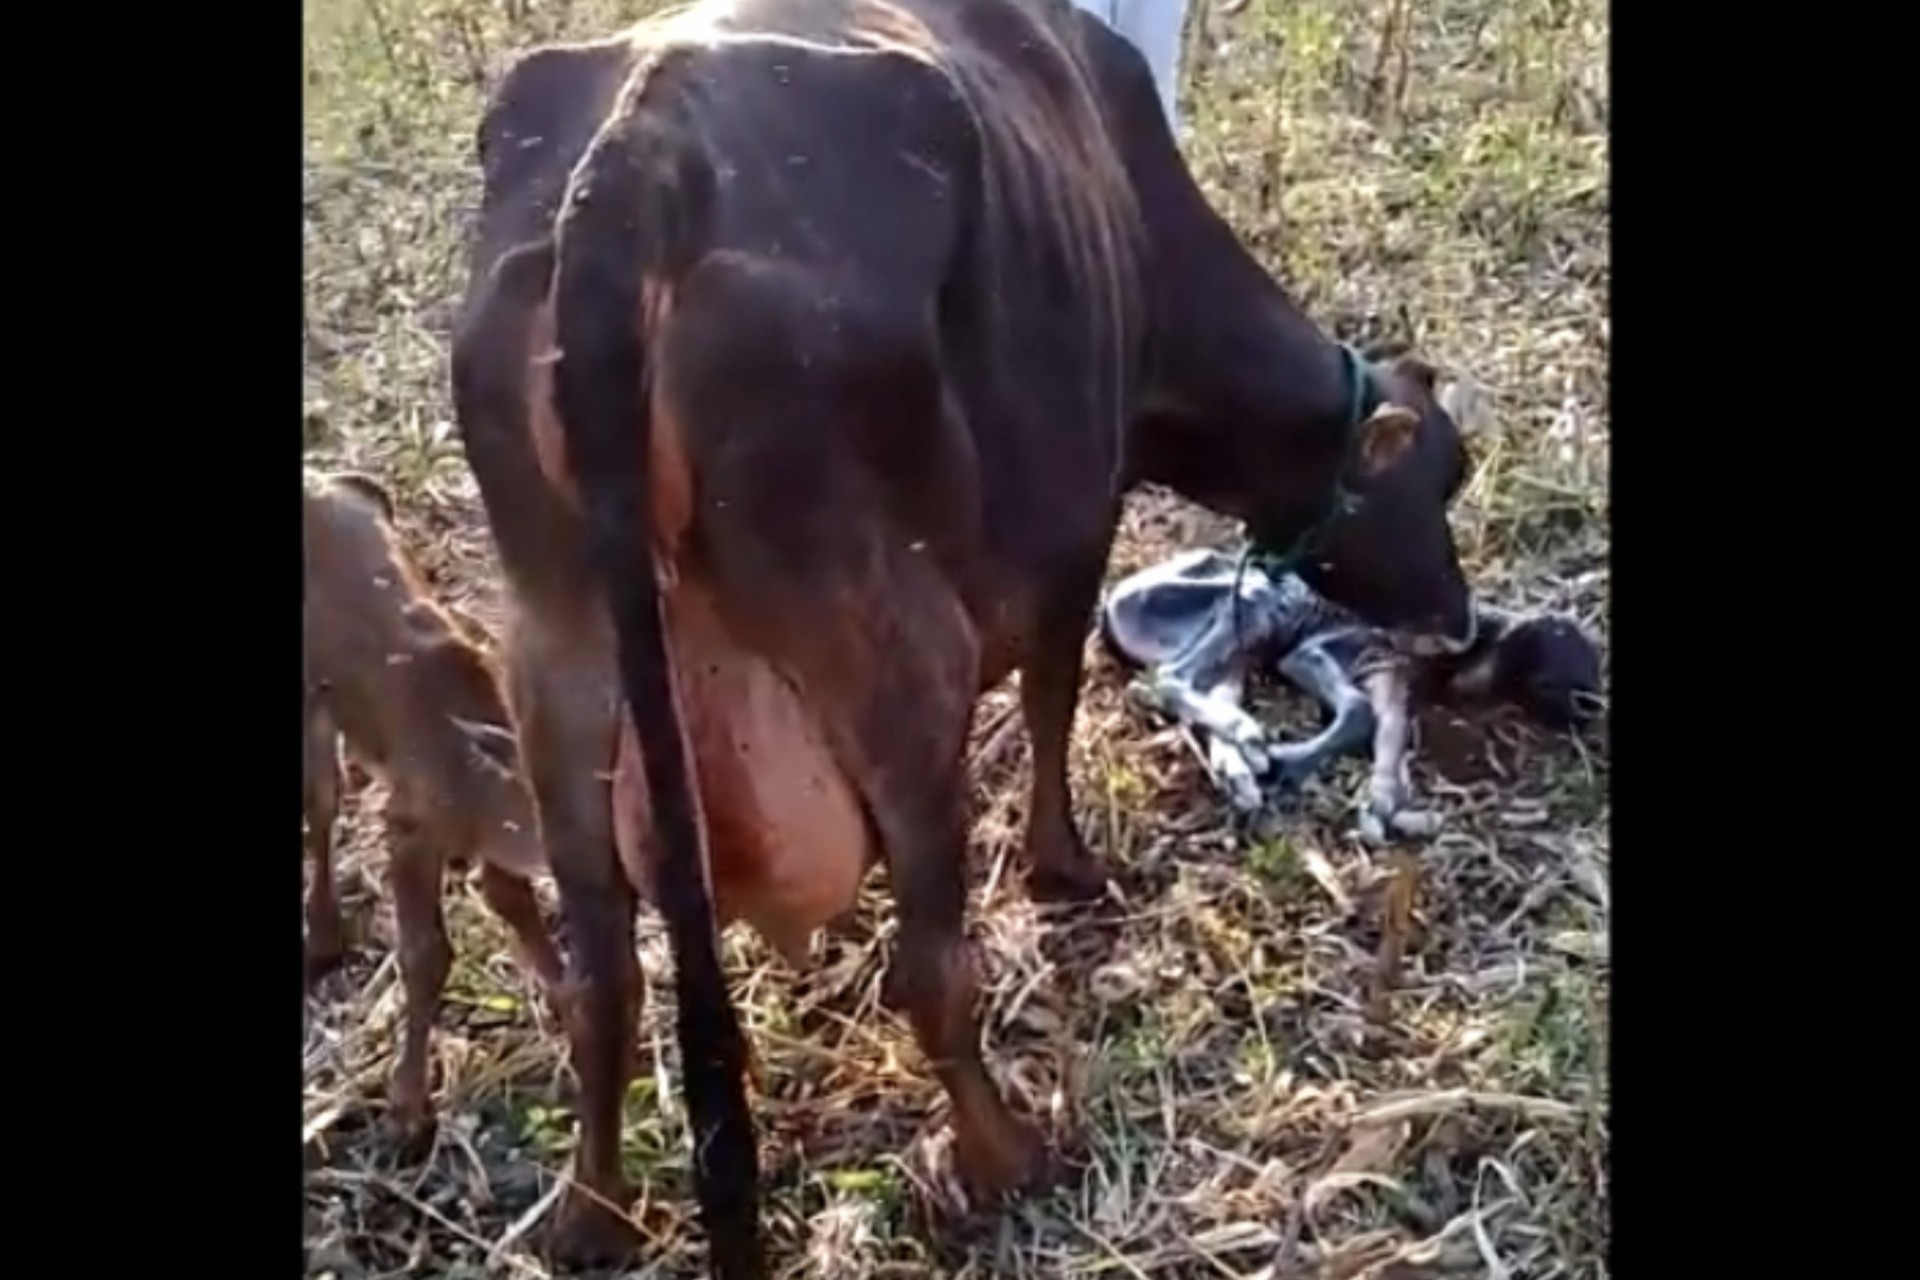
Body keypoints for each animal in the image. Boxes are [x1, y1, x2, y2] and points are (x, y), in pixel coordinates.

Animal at [295, 474, 560, 1151]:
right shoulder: (409, 824)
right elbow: (426, 953)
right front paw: (407, 1108)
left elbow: (513, 906)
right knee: (321, 802)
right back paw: (323, 938)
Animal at [453, 0, 1482, 1274]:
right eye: (1445, 472)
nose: (1459, 619)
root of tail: (635, 167)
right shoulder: (1076, 527)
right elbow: (1051, 696)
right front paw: (1064, 864)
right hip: (895, 658)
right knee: (930, 967)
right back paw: (1006, 1155)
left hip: (557, 665)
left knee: (599, 983)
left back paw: (590, 1211)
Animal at [1105, 548, 1597, 840]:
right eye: (1551, 679)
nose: (1588, 710)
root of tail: (1109, 606)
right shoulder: (1322, 650)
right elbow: (1360, 709)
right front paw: (1288, 763)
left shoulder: (1389, 670)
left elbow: (1391, 727)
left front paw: (1385, 802)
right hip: (1237, 601)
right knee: (1163, 680)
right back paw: (1245, 738)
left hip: (1235, 649)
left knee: (1194, 687)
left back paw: (1241, 768)